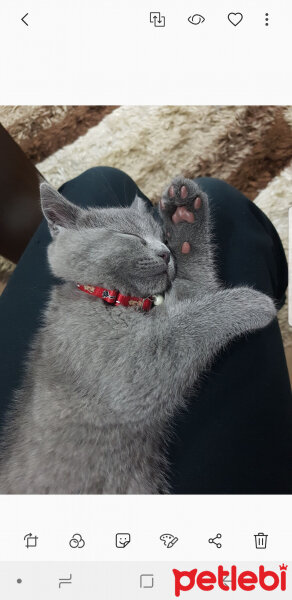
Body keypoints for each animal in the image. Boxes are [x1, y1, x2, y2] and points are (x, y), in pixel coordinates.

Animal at [0, 177, 276, 492]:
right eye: (130, 235)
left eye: (162, 237)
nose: (166, 252)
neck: (114, 299)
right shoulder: (132, 373)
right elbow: (188, 325)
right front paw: (253, 303)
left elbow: (197, 286)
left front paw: (184, 215)